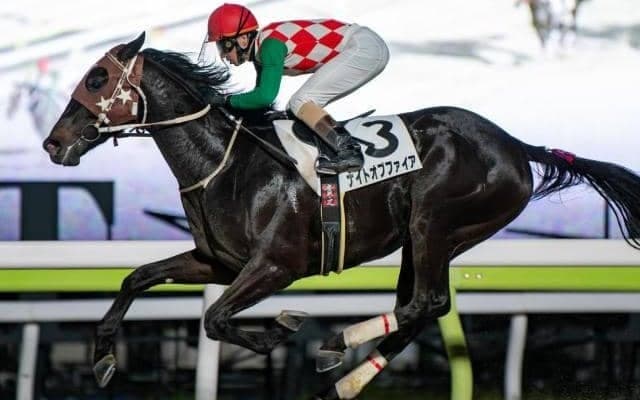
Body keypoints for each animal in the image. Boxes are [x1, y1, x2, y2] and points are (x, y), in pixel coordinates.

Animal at [43, 33, 640, 400]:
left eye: (97, 79)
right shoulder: (218, 263)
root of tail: (515, 145)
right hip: (432, 239)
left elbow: (214, 319)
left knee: (426, 302)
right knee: (419, 307)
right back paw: (343, 382)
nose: (54, 143)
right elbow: (137, 277)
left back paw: (338, 344)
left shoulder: (277, 265)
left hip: (434, 222)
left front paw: (279, 331)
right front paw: (102, 357)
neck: (225, 164)